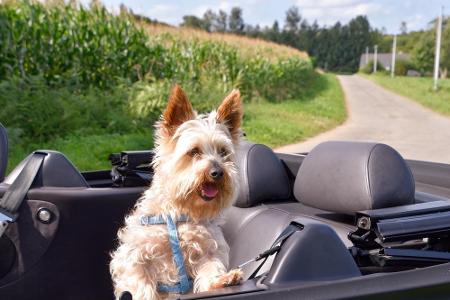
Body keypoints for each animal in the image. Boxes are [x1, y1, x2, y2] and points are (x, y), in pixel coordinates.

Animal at [111, 85, 244, 300]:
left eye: (223, 152)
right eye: (194, 151)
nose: (217, 172)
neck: (180, 213)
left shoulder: (208, 250)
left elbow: (210, 270)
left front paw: (222, 281)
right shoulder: (133, 258)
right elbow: (141, 285)